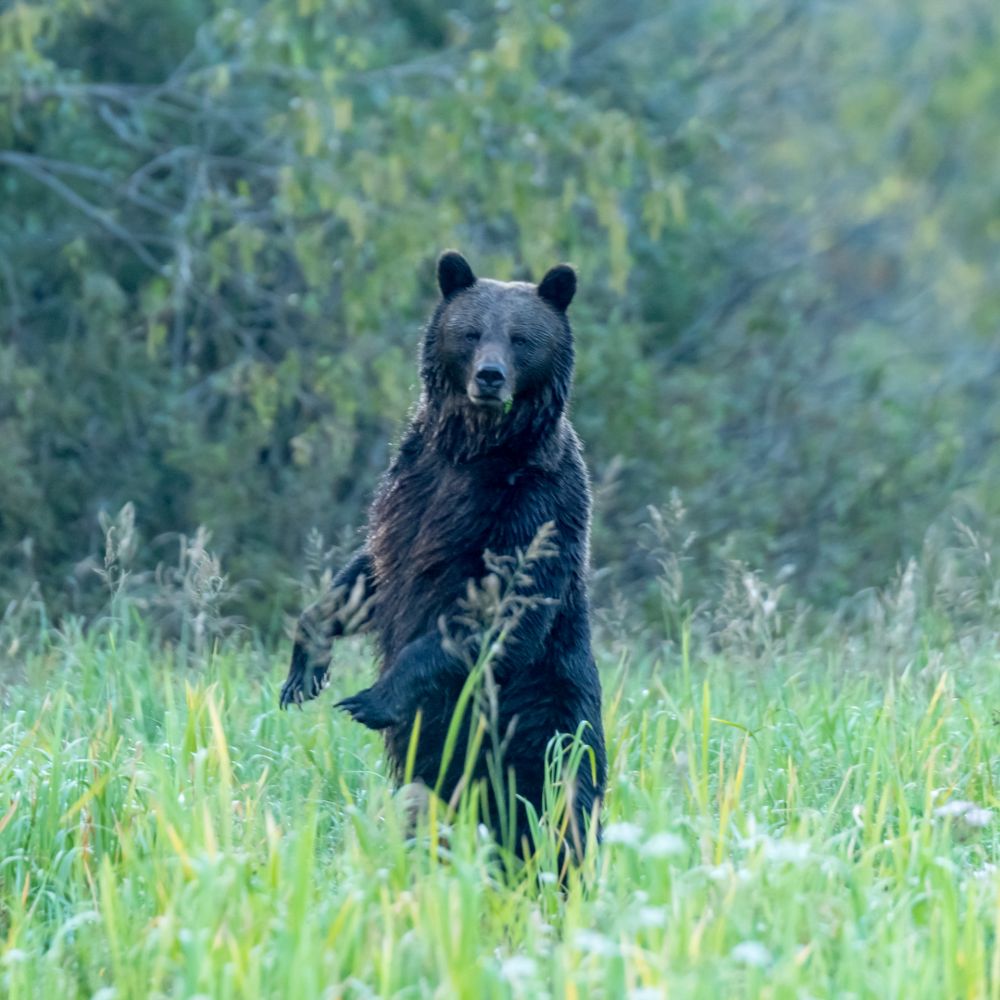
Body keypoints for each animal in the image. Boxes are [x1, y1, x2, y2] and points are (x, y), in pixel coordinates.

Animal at [282, 250, 608, 860]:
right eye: (471, 331)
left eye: (522, 337)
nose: (490, 376)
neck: (475, 448)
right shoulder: (411, 490)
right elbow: (365, 577)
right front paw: (304, 669)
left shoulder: (535, 506)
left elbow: (505, 608)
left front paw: (372, 698)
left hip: (540, 722)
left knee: (556, 809)